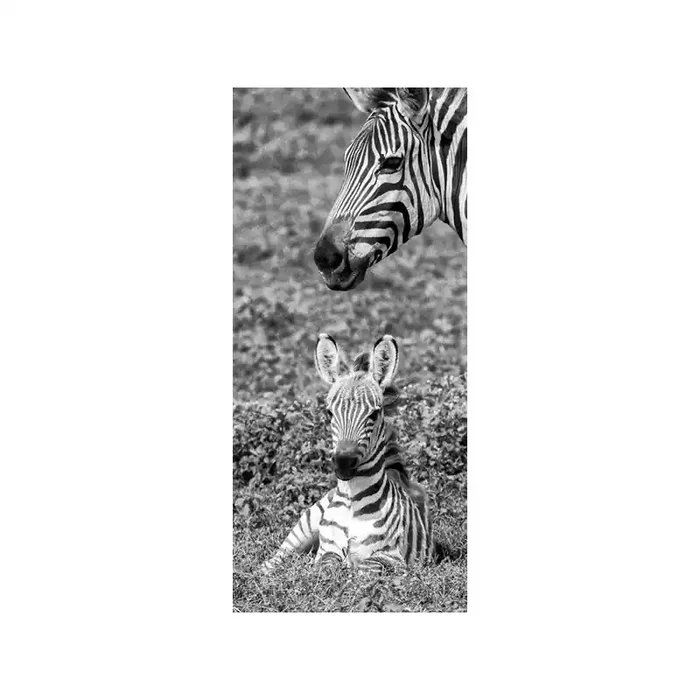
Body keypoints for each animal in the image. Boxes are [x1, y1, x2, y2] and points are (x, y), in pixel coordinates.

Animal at [261, 333, 432, 574]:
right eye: (329, 412)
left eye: (374, 414)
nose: (343, 462)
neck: (351, 501)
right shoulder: (326, 550)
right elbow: (326, 565)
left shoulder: (392, 558)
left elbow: (365, 568)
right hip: (308, 522)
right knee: (279, 555)